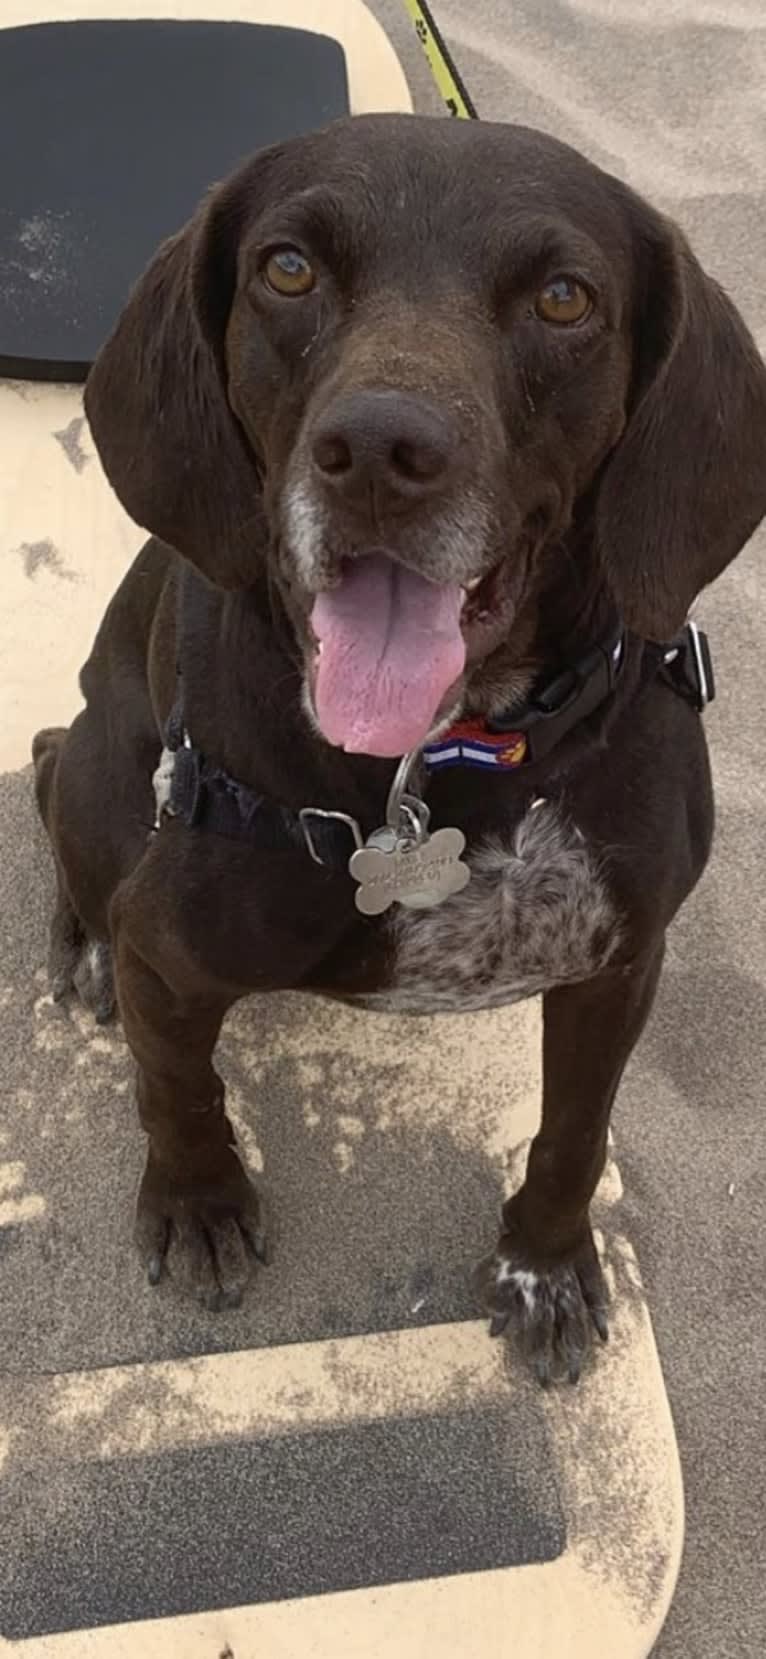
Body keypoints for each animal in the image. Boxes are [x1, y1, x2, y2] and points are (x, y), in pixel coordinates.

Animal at [32, 113, 766, 1386]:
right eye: (287, 269)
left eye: (564, 297)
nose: (377, 448)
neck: (447, 772)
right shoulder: (167, 955)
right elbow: (178, 1087)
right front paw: (199, 1201)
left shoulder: (618, 965)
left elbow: (576, 1131)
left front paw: (544, 1264)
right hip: (97, 772)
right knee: (41, 771)